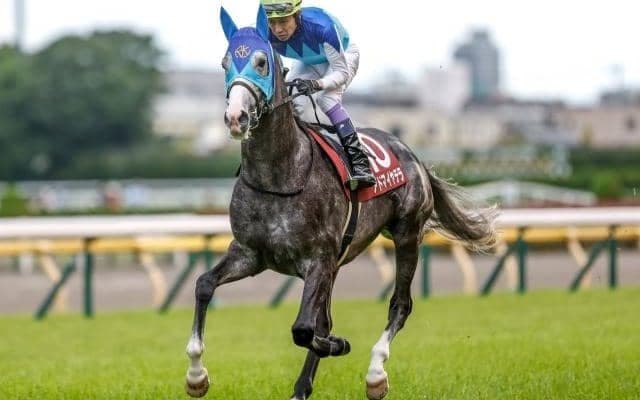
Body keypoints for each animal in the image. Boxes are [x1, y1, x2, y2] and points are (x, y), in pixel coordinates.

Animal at [184, 6, 497, 400]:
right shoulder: (250, 253)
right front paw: (196, 376)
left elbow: (305, 328)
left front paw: (339, 344)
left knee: (400, 305)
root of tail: (413, 155)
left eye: (261, 62)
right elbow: (204, 285)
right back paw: (303, 387)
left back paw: (376, 374)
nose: (236, 117)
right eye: (225, 62)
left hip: (407, 234)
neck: (280, 175)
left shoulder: (318, 260)